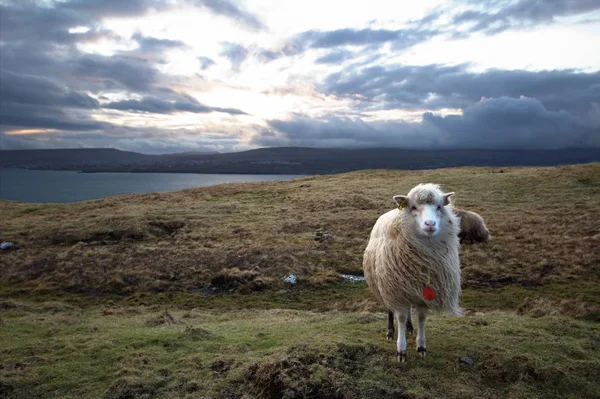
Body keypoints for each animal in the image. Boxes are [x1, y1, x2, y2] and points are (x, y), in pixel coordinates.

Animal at [360, 184, 464, 362]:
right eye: (413, 207)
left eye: (439, 207)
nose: (430, 223)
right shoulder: (396, 290)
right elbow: (400, 317)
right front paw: (401, 350)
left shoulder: (422, 291)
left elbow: (421, 318)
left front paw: (421, 346)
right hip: (386, 283)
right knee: (391, 310)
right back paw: (390, 331)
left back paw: (410, 327)